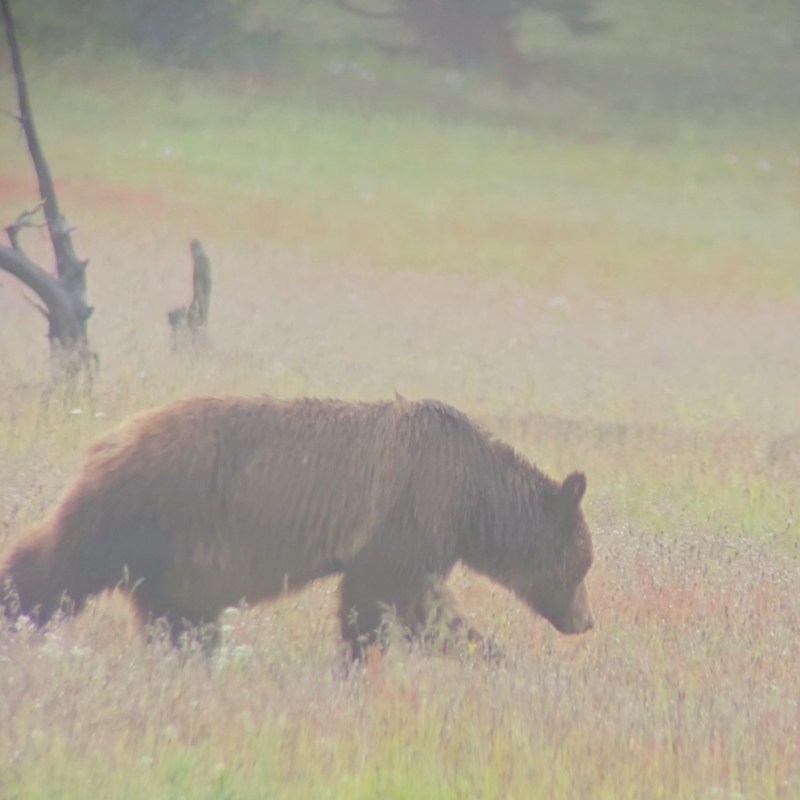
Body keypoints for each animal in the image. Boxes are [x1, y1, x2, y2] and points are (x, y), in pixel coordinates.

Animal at [0, 395, 595, 656]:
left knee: (181, 618)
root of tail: (108, 436)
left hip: (178, 557)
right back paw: (17, 610)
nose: (586, 622)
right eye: (585, 565)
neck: (476, 498)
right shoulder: (411, 510)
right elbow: (388, 600)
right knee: (62, 564)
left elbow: (406, 604)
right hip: (144, 511)